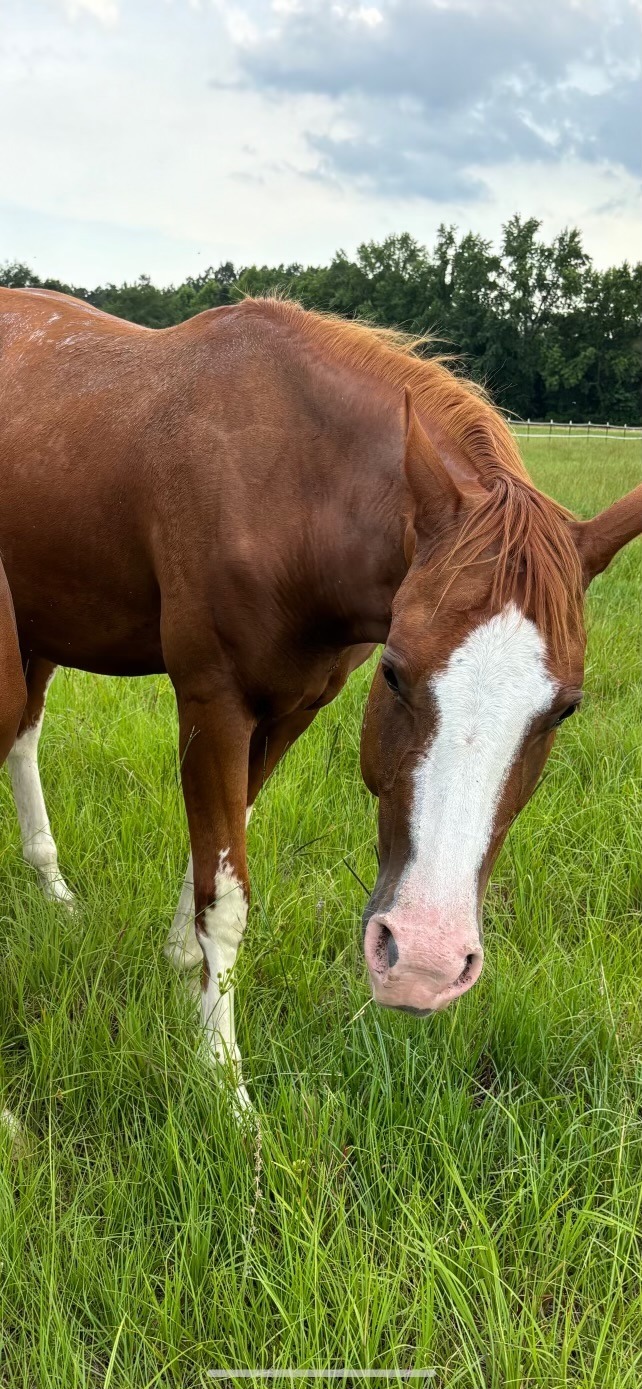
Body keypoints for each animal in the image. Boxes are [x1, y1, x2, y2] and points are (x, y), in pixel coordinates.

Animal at [0, 286, 640, 1109]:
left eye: (564, 709)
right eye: (395, 672)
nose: (424, 961)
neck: (291, 482)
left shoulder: (291, 711)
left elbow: (217, 847)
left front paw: (182, 965)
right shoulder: (214, 701)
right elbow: (228, 896)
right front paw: (224, 1082)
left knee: (23, 736)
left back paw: (53, 887)